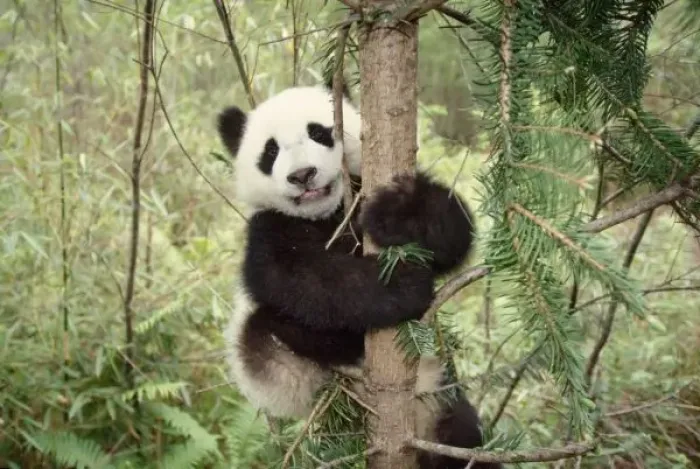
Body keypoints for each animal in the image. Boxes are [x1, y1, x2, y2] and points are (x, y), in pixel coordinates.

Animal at [217, 84, 501, 469]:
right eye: (271, 151)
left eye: (320, 132)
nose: (302, 175)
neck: (327, 213)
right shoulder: (269, 228)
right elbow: (297, 278)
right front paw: (401, 286)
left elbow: (452, 233)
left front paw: (400, 212)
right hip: (272, 357)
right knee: (269, 327)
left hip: (444, 404)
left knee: (466, 439)